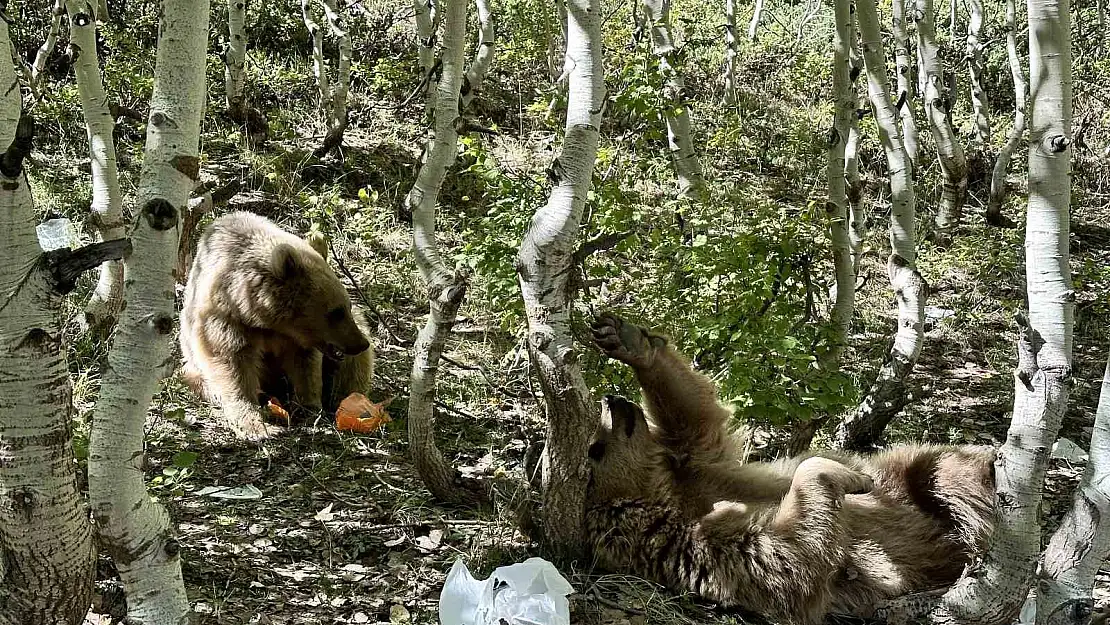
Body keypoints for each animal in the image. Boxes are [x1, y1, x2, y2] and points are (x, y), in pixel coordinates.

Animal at [179, 213, 375, 441]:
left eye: (347, 307)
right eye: (336, 312)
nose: (360, 343)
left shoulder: (296, 339)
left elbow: (305, 366)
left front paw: (308, 408)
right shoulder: (226, 321)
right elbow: (232, 365)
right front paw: (257, 425)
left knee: (353, 368)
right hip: (193, 367)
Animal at [586, 313, 994, 625]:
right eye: (595, 448)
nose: (611, 400)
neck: (666, 493)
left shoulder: (703, 468)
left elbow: (697, 418)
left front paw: (626, 338)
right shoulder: (690, 545)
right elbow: (787, 561)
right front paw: (844, 476)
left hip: (907, 477)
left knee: (944, 472)